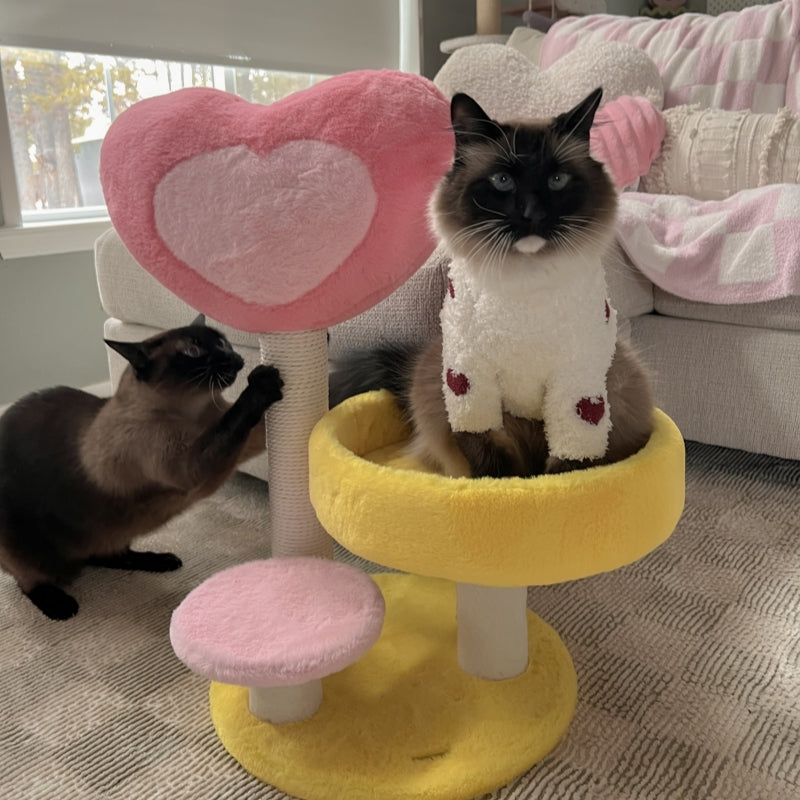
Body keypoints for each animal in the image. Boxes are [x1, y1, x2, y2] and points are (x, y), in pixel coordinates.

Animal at [0, 318, 282, 620]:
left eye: (223, 342)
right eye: (193, 350)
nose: (235, 357)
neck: (195, 413)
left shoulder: (244, 440)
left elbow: (241, 424)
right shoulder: (192, 467)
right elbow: (233, 420)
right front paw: (263, 382)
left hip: (113, 531)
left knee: (108, 556)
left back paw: (161, 561)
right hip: (26, 548)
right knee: (30, 581)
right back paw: (61, 606)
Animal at [328, 89, 652, 476]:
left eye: (557, 180)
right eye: (502, 181)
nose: (532, 214)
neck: (524, 287)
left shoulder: (577, 389)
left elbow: (568, 466)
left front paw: (542, 488)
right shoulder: (468, 382)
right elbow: (488, 459)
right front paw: (503, 488)